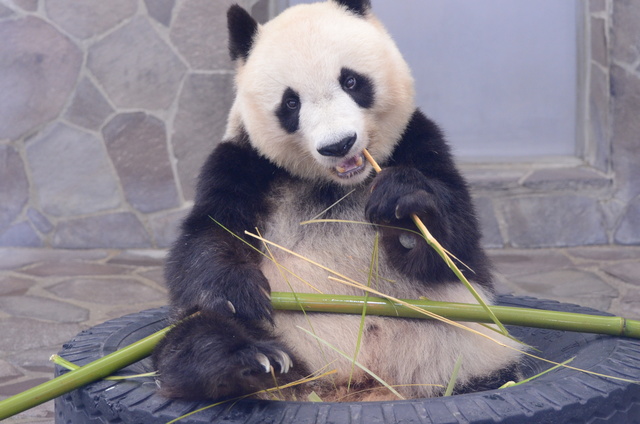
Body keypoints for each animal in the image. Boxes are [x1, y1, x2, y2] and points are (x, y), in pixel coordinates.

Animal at [152, 0, 524, 400]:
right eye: (291, 103)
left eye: (351, 81)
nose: (338, 144)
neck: (335, 184)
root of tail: (354, 384)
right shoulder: (243, 163)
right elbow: (208, 236)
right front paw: (237, 292)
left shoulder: (419, 140)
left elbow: (457, 248)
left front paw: (403, 207)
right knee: (194, 334)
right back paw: (247, 364)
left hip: (461, 339)